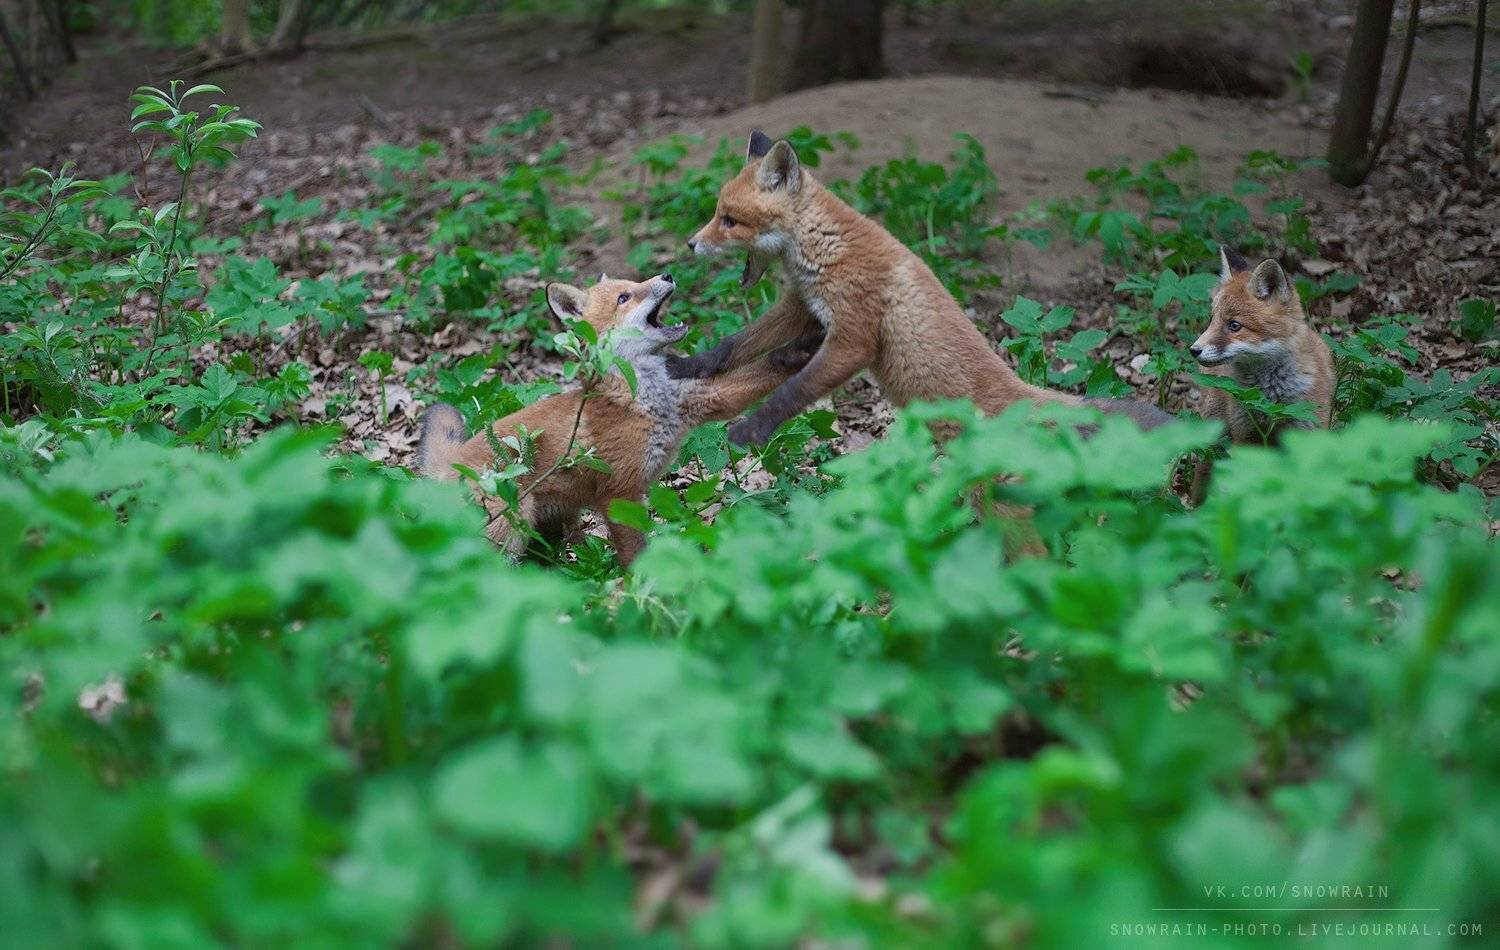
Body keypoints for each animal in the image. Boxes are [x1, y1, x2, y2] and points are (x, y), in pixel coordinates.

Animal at [419, 273, 815, 567]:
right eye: (625, 297)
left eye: (636, 284)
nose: (667, 274)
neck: (643, 397)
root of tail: (449, 465)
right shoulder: (618, 491)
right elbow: (636, 555)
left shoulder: (705, 400)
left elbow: (766, 370)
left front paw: (809, 343)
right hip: (513, 522)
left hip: (554, 524)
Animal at [667, 129, 1174, 446]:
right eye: (717, 213)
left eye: (729, 220)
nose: (690, 243)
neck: (826, 249)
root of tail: (1020, 391)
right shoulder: (804, 305)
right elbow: (733, 345)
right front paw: (688, 365)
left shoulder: (854, 337)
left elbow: (794, 390)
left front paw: (752, 429)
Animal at [1188, 246, 1334, 502]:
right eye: (1212, 320)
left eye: (1234, 325)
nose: (1194, 350)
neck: (1271, 397)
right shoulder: (1246, 434)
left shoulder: (1307, 432)